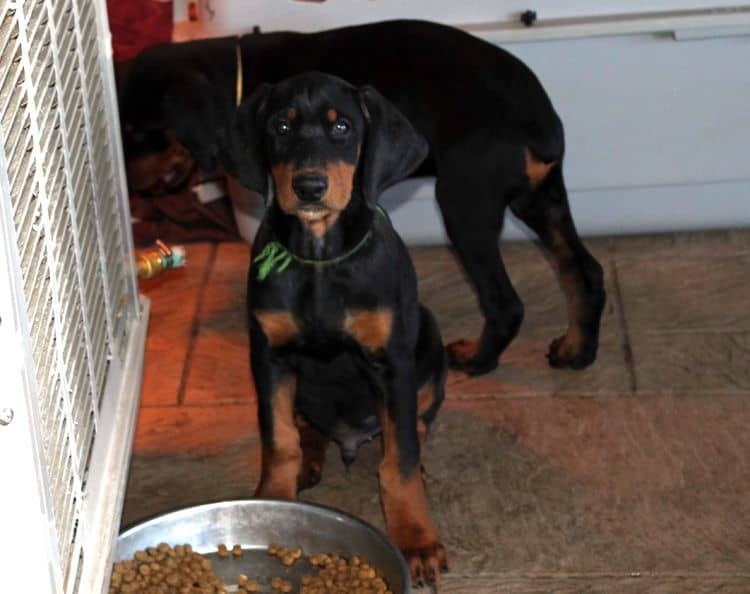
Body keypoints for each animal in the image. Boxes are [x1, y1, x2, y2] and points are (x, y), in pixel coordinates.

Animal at [120, 22, 608, 380]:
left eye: (136, 134)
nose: (127, 189)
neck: (237, 75)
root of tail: (540, 119)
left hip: (465, 202)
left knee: (504, 302)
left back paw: (477, 360)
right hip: (541, 197)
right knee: (583, 271)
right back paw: (577, 350)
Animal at [226, 71, 450, 584]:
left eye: (343, 127)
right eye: (281, 127)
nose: (310, 186)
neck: (319, 258)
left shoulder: (391, 362)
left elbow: (399, 462)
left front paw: (417, 539)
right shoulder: (268, 356)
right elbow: (279, 439)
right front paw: (274, 503)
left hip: (428, 338)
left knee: (414, 424)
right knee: (306, 426)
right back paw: (312, 456)